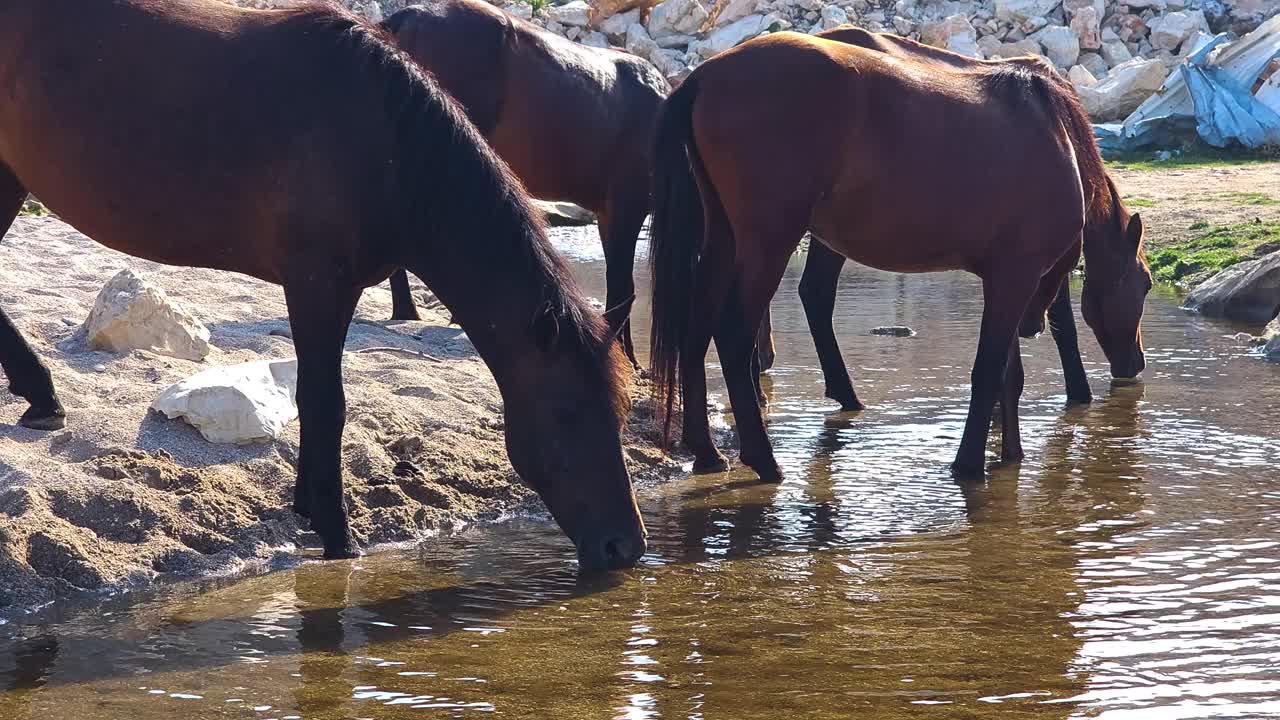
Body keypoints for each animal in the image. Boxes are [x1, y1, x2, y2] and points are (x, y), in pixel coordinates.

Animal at [0, 1, 640, 571]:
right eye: (567, 412)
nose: (625, 548)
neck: (385, 146)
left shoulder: (336, 287)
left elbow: (318, 398)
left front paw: (311, 504)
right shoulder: (316, 282)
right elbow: (325, 401)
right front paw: (336, 531)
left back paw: (41, 395)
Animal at [650, 32, 1152, 481]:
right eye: (1145, 284)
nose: (1136, 363)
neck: (1056, 135)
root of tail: (705, 76)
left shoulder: (1006, 279)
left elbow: (1010, 376)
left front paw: (1009, 457)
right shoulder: (1017, 277)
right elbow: (990, 370)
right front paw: (969, 465)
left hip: (724, 240)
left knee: (696, 331)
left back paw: (707, 452)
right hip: (768, 243)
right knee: (735, 336)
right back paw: (765, 459)